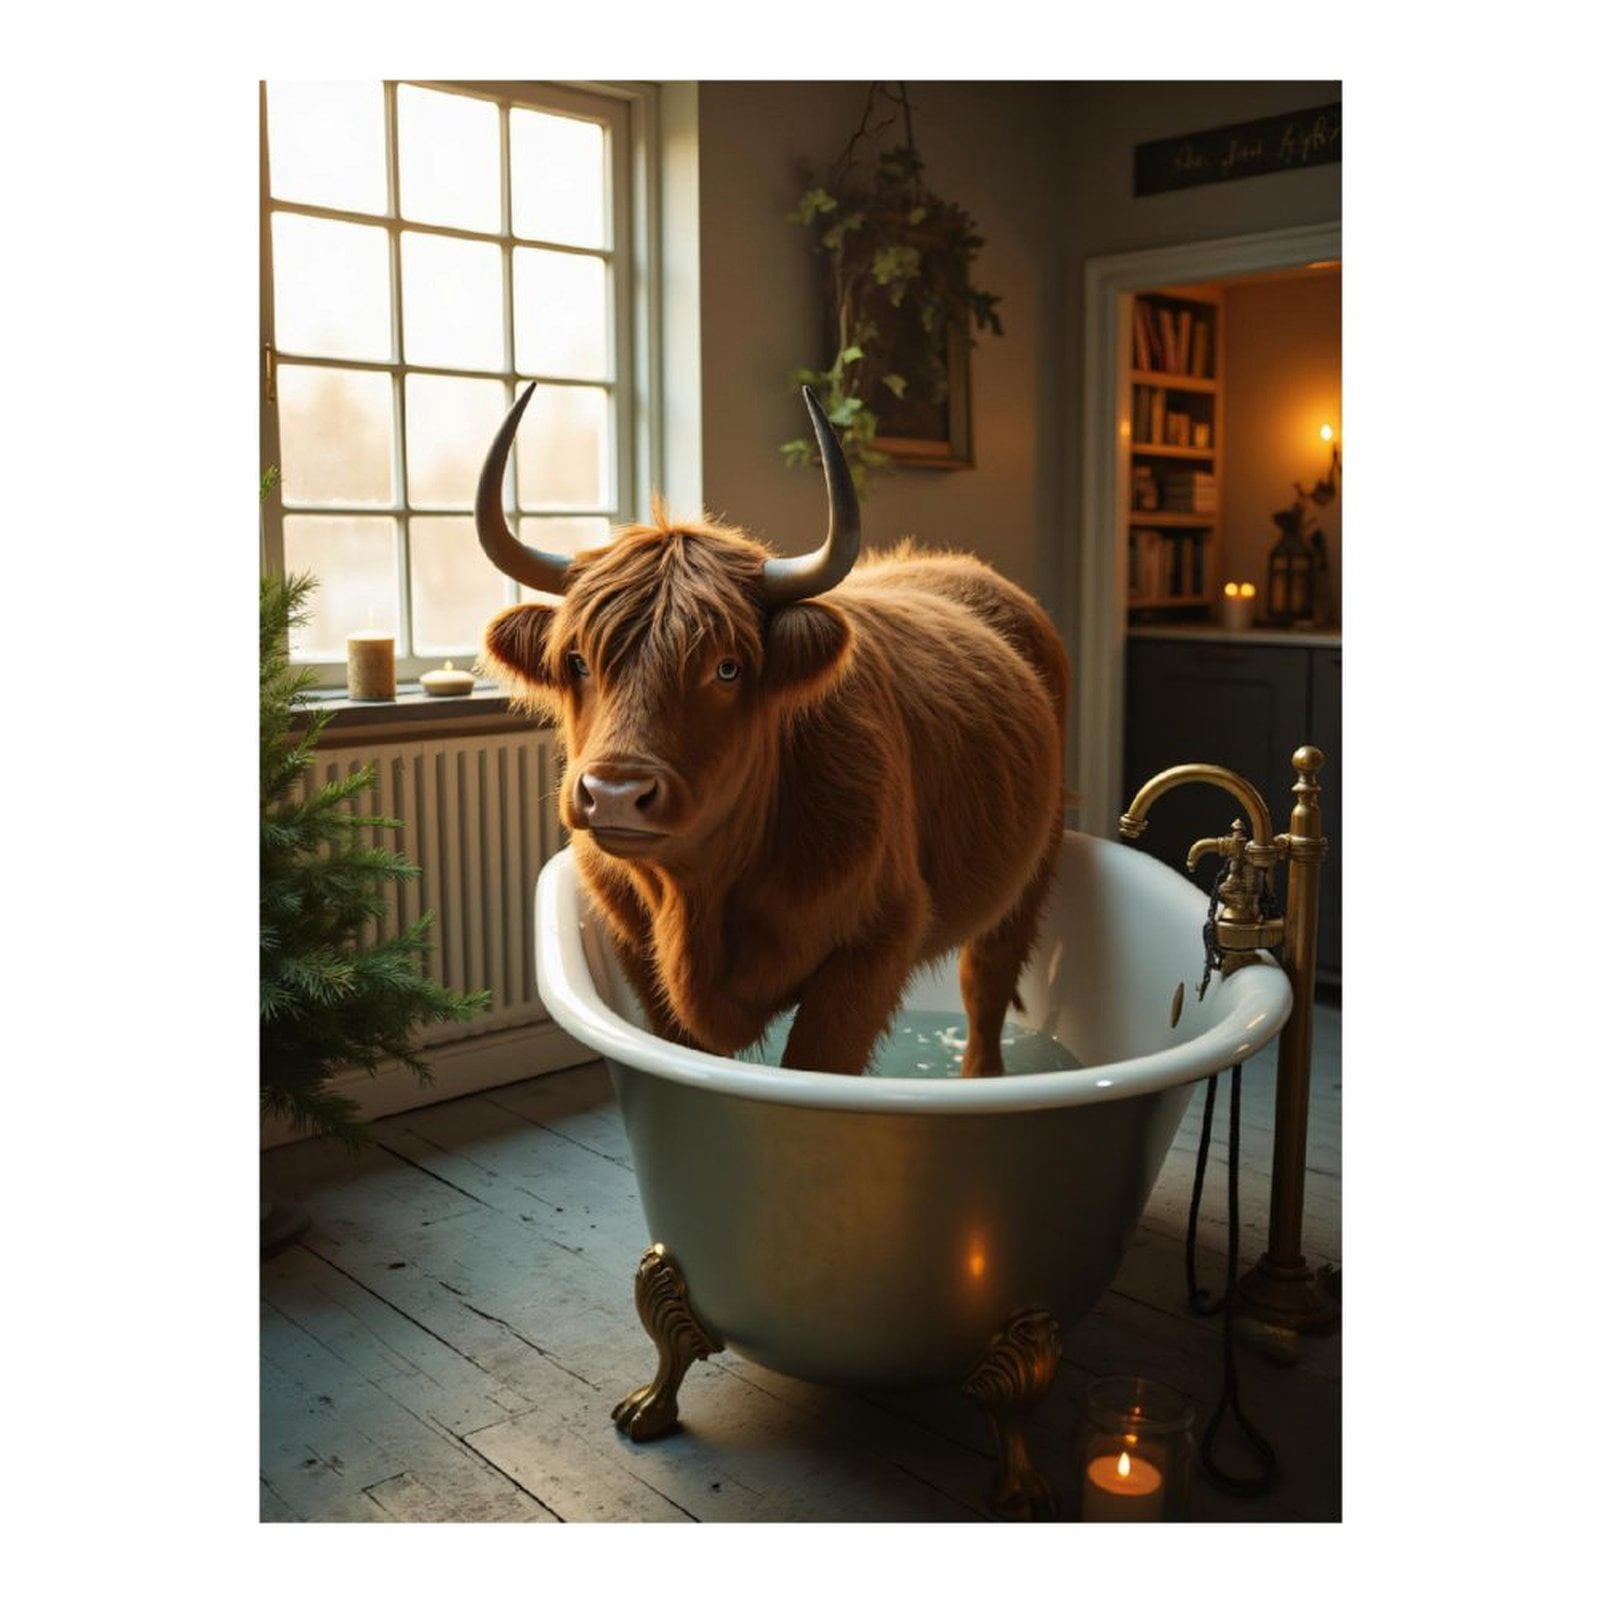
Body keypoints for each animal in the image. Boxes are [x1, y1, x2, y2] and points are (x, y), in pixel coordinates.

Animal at [476, 383, 1069, 1077]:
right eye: (576, 661)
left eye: (727, 666)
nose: (616, 794)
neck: (699, 896)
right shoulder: (634, 948)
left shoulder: (873, 945)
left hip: (1036, 858)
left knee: (986, 982)